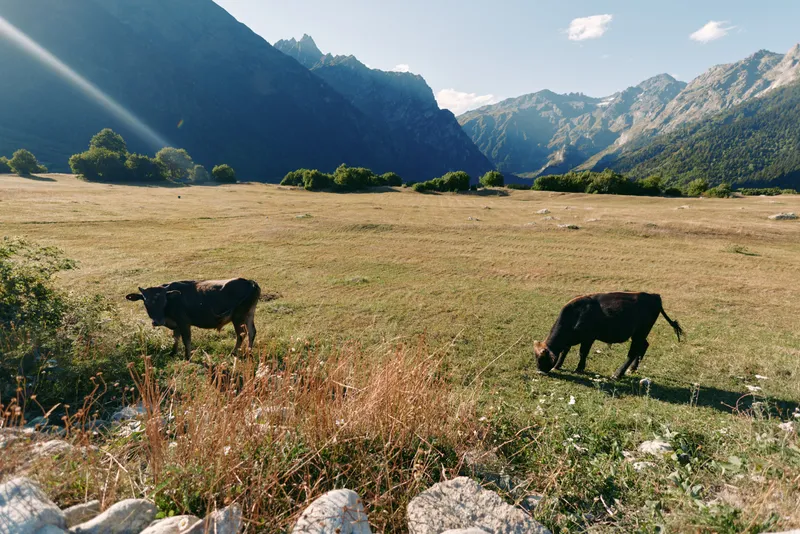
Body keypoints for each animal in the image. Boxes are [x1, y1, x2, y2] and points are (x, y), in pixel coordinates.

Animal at [125, 278, 261, 359]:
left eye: (164, 300)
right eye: (146, 302)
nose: (157, 321)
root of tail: (250, 282)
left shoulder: (184, 322)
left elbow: (186, 340)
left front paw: (187, 357)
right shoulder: (176, 324)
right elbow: (175, 338)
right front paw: (173, 353)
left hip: (238, 317)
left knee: (241, 334)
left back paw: (233, 353)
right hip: (249, 314)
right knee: (252, 332)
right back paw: (249, 352)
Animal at [534, 292, 683, 379]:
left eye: (543, 358)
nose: (540, 372)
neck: (577, 314)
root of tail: (654, 296)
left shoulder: (589, 338)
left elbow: (582, 353)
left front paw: (579, 368)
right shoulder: (570, 340)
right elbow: (565, 351)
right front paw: (558, 365)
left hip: (640, 333)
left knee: (633, 352)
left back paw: (618, 374)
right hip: (639, 334)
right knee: (644, 346)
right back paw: (632, 369)